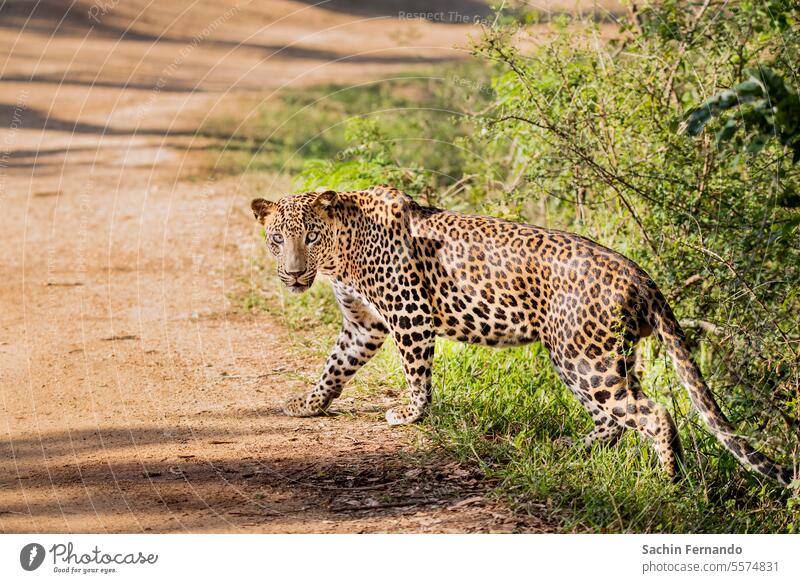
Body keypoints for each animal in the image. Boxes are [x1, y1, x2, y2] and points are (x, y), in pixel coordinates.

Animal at [250, 186, 792, 484]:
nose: (293, 274)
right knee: (615, 418)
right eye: (278, 239)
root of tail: (640, 274)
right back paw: (563, 451)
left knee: (652, 414)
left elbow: (416, 374)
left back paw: (668, 483)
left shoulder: (409, 315)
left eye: (311, 236)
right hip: (597, 356)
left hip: (583, 357)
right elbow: (335, 364)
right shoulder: (363, 324)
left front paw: (409, 415)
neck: (342, 253)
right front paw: (309, 404)